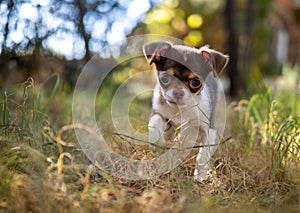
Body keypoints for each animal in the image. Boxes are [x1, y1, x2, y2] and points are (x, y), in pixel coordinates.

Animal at [142, 40, 229, 181]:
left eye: (195, 82)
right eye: (165, 79)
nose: (178, 92)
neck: (180, 109)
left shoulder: (209, 129)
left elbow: (203, 154)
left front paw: (200, 174)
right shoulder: (159, 112)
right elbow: (154, 124)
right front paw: (158, 143)